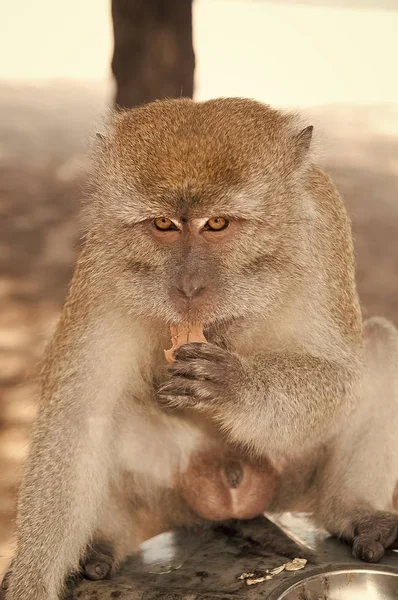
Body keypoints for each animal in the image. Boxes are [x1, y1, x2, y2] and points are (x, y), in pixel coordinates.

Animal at [3, 98, 398, 600]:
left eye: (217, 223)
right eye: (164, 224)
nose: (188, 287)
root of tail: (229, 499)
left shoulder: (322, 234)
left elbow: (342, 378)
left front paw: (236, 386)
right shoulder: (105, 262)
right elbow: (78, 413)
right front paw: (30, 582)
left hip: (288, 478)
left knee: (382, 347)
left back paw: (353, 511)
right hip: (167, 487)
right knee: (102, 413)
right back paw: (105, 542)